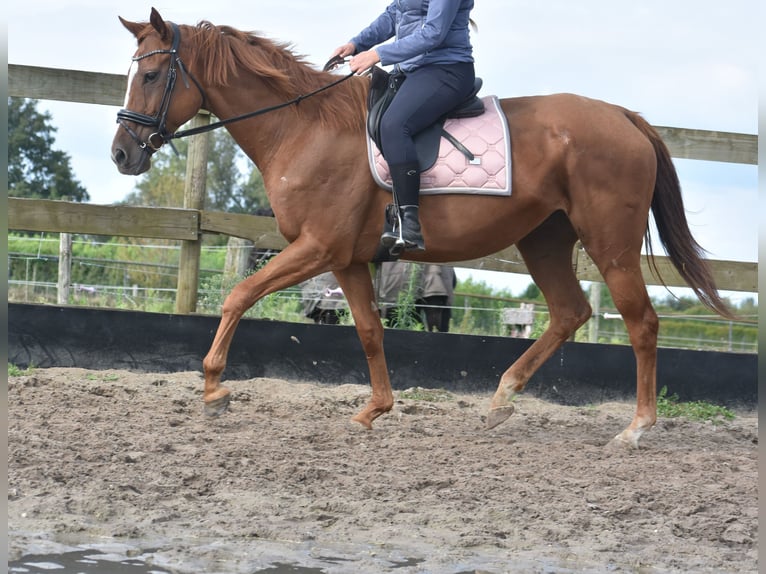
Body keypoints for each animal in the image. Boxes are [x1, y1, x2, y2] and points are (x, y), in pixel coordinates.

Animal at [112, 9, 732, 450]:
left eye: (152, 75)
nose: (121, 154)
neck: (303, 128)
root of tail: (625, 116)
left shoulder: (317, 248)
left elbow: (238, 296)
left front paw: (214, 388)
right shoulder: (346, 259)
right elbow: (369, 331)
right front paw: (374, 410)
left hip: (610, 242)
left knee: (640, 322)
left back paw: (635, 428)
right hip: (544, 238)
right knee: (568, 312)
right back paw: (502, 399)